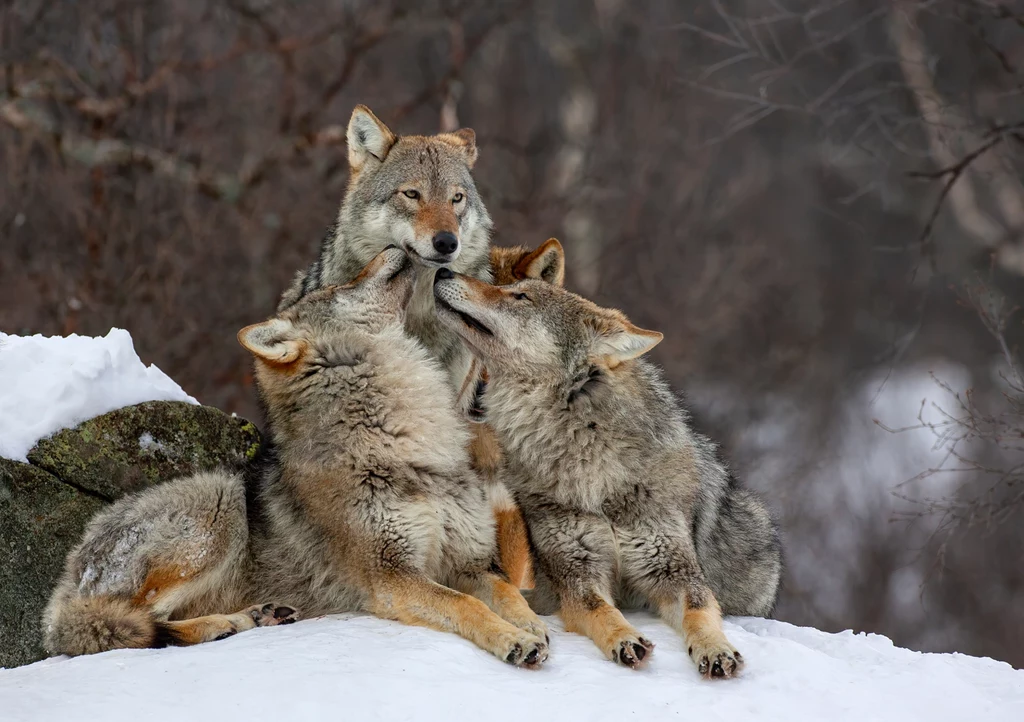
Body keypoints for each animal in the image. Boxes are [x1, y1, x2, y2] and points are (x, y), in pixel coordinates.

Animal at [40, 246, 548, 663]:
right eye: (339, 286)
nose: (393, 245)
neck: (403, 438)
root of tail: (67, 576)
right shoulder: (392, 578)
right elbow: (466, 604)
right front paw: (512, 640)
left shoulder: (470, 562)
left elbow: (506, 592)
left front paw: (531, 627)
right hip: (218, 506)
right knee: (128, 628)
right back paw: (227, 624)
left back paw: (258, 616)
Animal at [434, 268, 782, 680]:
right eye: (510, 289)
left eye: (520, 297)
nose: (444, 270)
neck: (592, 466)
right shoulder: (578, 573)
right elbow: (601, 611)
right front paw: (626, 640)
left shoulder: (675, 570)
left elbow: (700, 613)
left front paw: (717, 650)